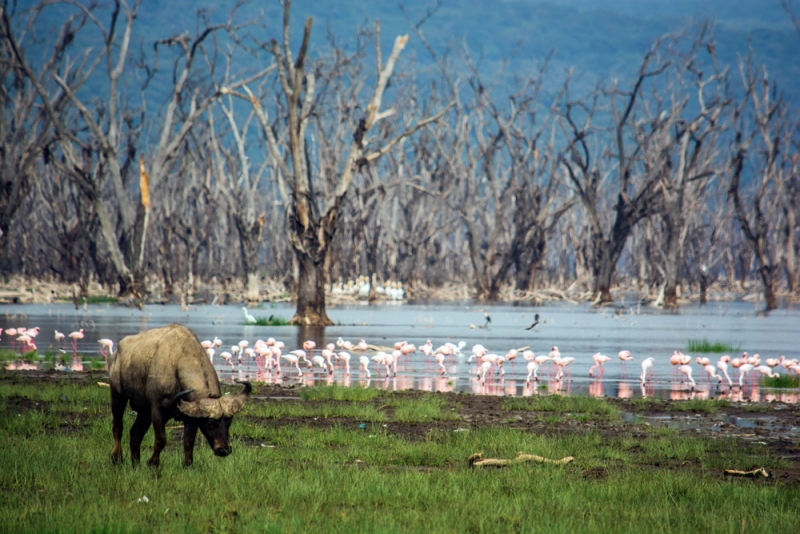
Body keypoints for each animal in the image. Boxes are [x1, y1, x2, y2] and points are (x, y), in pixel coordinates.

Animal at [107, 324, 250, 466]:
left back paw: (135, 463)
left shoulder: (191, 416)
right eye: (210, 422)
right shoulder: (157, 410)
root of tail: (116, 354)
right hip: (117, 395)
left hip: (143, 410)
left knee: (135, 433)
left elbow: (188, 442)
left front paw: (188, 465)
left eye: (229, 421)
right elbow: (161, 440)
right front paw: (152, 462)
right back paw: (116, 458)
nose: (224, 450)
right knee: (117, 426)